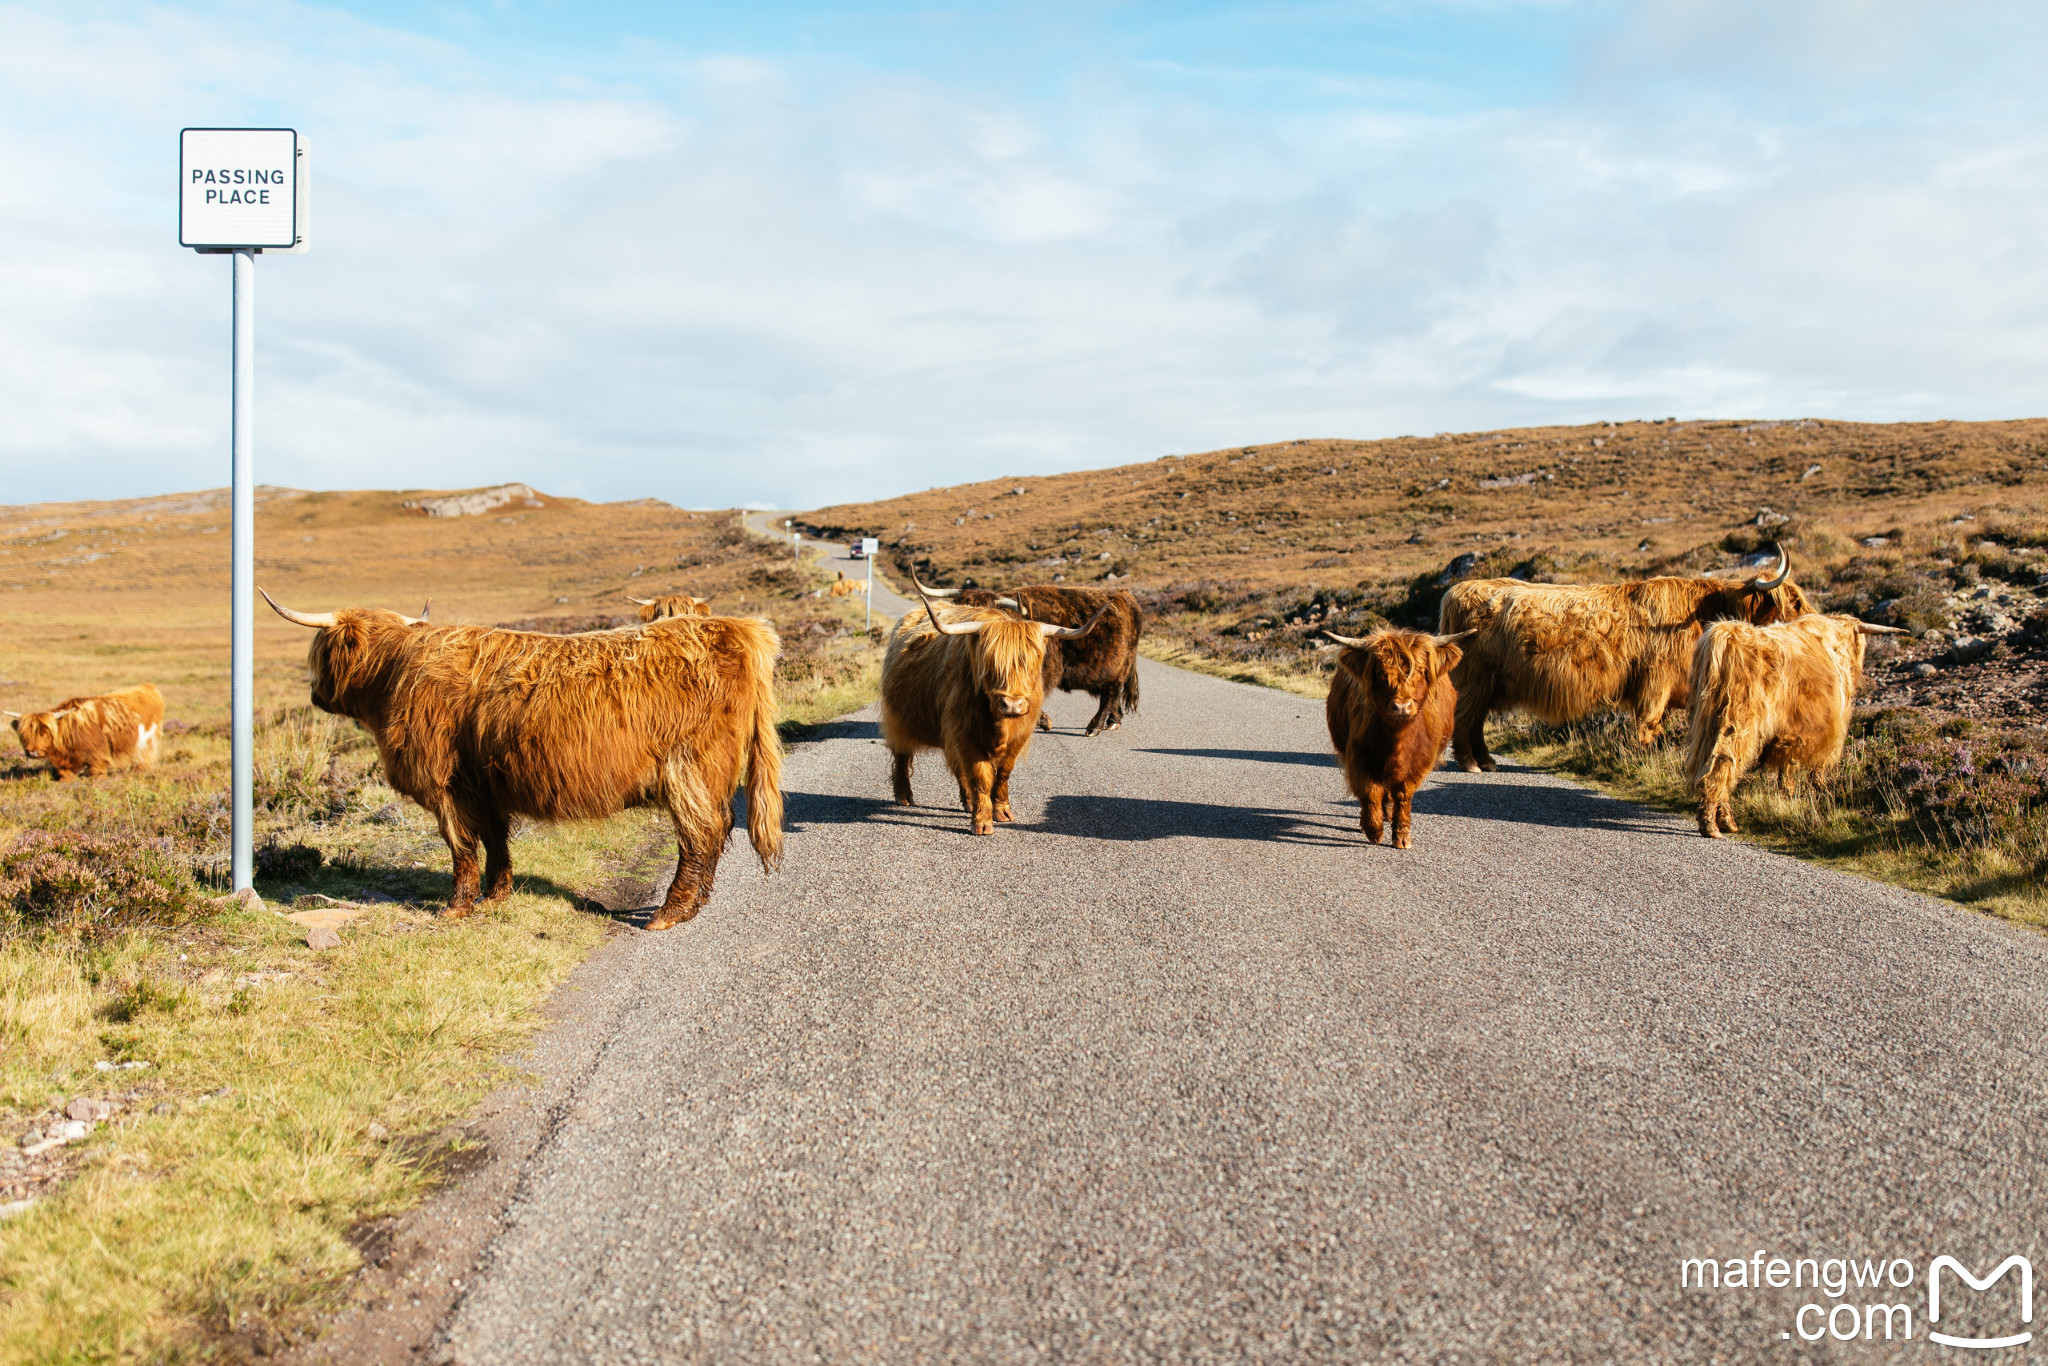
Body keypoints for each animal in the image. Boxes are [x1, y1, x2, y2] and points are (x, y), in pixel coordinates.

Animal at [6, 684, 163, 778]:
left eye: (44, 732)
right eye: (23, 735)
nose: (32, 752)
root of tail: (148, 687)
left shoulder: (98, 757)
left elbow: (97, 772)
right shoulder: (65, 763)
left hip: (146, 740)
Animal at [264, 589, 782, 929]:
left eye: (319, 653)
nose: (314, 693)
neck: (394, 675)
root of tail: (734, 628)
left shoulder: (445, 784)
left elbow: (460, 847)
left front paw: (456, 907)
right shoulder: (483, 785)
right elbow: (496, 843)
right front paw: (495, 897)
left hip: (689, 768)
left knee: (701, 834)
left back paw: (670, 913)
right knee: (714, 832)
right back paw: (692, 906)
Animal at [921, 585, 1146, 741]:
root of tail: (1126, 596)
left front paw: (1043, 721)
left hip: (1116, 668)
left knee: (1110, 694)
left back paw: (1094, 727)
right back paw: (1113, 722)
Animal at [1327, 626, 1474, 843]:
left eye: (1420, 670)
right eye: (1381, 673)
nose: (1402, 707)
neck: (1398, 739)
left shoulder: (1421, 761)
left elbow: (1403, 794)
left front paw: (1402, 836)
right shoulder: (1358, 756)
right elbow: (1370, 791)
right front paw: (1374, 830)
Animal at [1679, 614, 1900, 839]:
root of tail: (1727, 635)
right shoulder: (1817, 732)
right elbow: (1800, 769)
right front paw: (1807, 793)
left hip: (1706, 724)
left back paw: (1725, 822)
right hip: (1736, 723)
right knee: (1721, 766)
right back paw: (1713, 826)